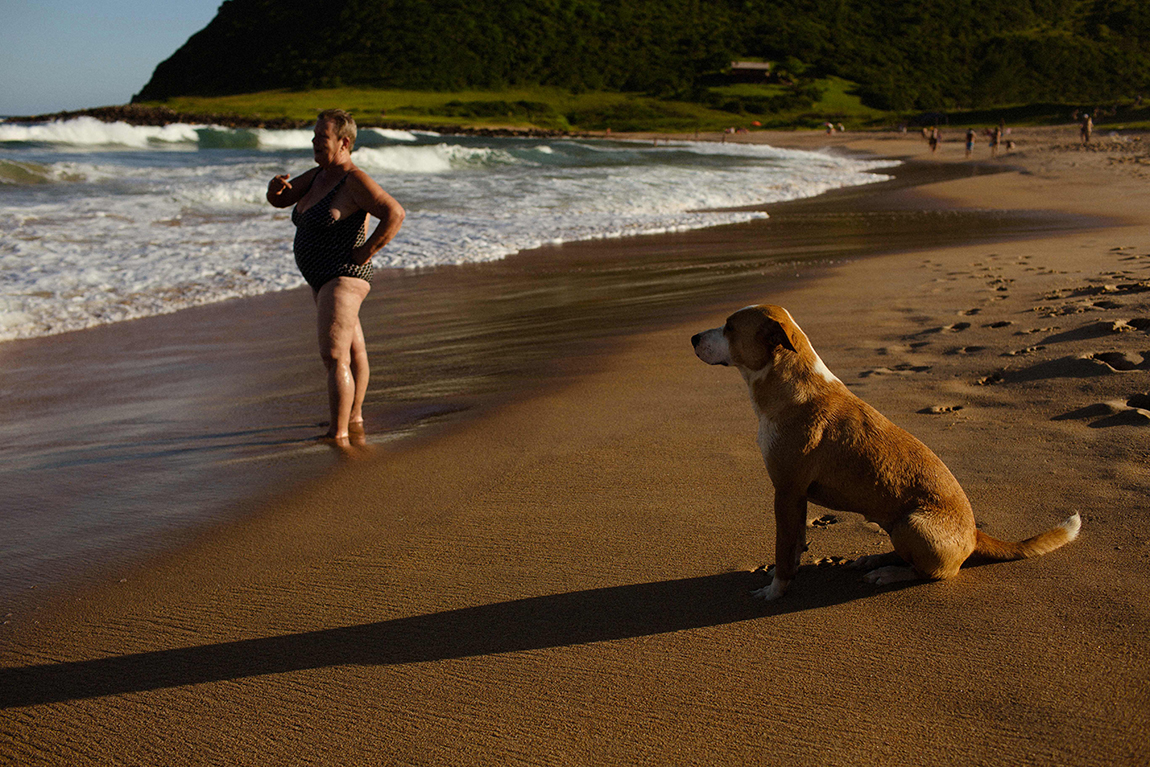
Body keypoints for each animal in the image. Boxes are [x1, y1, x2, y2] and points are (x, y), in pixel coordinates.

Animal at [690, 303, 1076, 597]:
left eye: (728, 327)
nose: (692, 337)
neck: (790, 383)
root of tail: (974, 534)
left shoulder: (786, 491)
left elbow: (783, 549)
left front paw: (775, 590)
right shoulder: (795, 498)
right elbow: (796, 540)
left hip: (913, 524)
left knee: (933, 573)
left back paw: (890, 573)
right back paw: (878, 559)